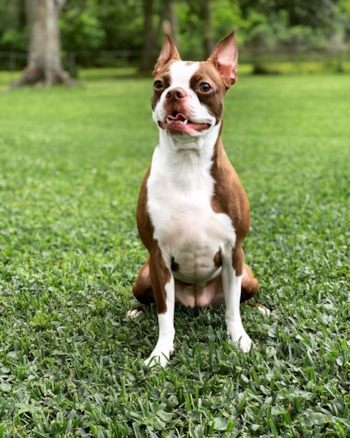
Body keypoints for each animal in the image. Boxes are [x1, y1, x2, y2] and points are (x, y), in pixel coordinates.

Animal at [130, 31, 258, 366]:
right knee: (149, 302)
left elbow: (233, 309)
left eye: (204, 87)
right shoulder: (158, 257)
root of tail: (199, 301)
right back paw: (135, 311)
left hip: (249, 276)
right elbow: (165, 315)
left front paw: (240, 339)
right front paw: (161, 353)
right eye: (158, 84)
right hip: (143, 276)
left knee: (242, 299)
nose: (174, 93)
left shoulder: (233, 252)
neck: (189, 164)